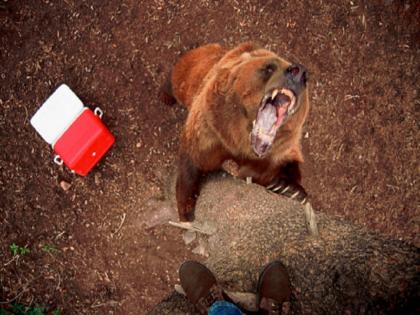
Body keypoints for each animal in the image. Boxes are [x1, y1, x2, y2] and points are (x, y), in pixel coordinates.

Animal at [166, 42, 310, 222]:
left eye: (305, 79)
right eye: (269, 67)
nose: (299, 72)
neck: (241, 140)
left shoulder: (277, 151)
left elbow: (278, 168)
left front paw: (288, 188)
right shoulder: (210, 131)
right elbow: (192, 164)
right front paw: (187, 212)